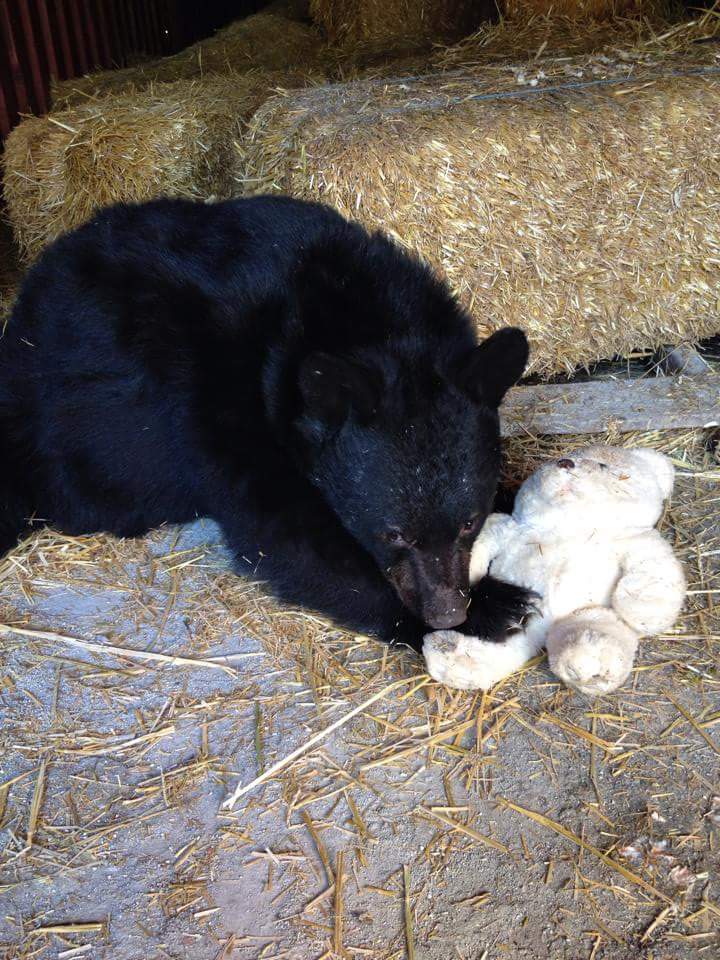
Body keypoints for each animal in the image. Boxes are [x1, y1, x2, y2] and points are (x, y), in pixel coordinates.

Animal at [0, 195, 528, 648]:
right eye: (393, 532)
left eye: (469, 521)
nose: (447, 613)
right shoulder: (223, 414)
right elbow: (287, 537)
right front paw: (495, 607)